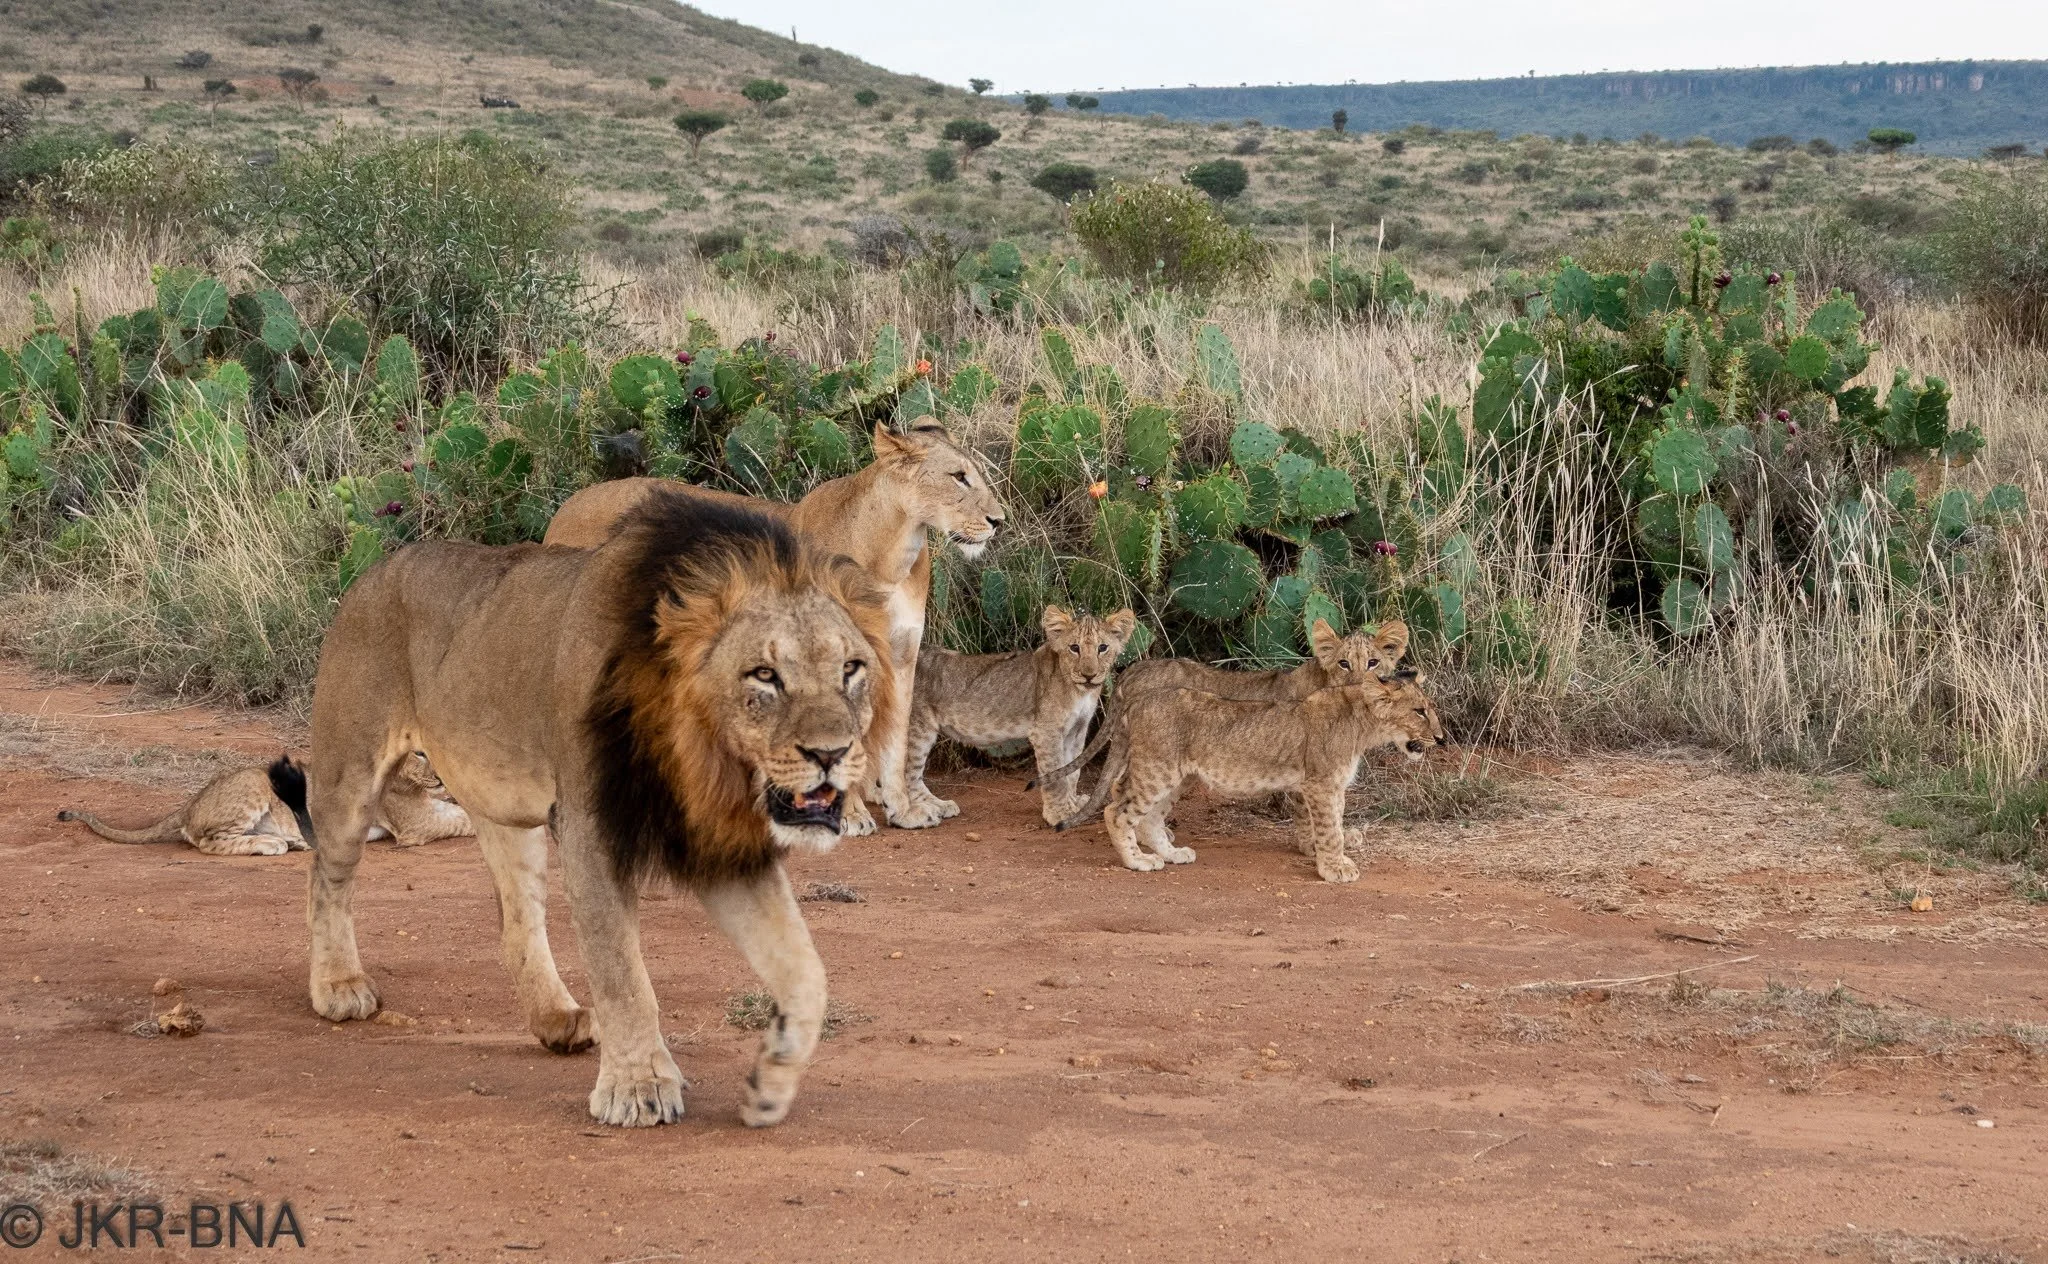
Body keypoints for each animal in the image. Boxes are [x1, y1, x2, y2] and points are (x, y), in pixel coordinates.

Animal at [274, 490, 896, 1129]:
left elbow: (806, 970)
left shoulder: (717, 843)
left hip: (504, 808)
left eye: (850, 669)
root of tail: (370, 573)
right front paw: (638, 1087)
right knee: (324, 875)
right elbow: (621, 971)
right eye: (764, 675)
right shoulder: (590, 828)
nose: (832, 753)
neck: (704, 757)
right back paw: (339, 986)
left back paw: (556, 1020)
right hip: (351, 777)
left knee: (518, 920)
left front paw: (769, 1081)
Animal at [544, 423, 1004, 835]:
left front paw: (905, 809)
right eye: (958, 476)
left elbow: (895, 739)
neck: (894, 555)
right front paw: (852, 816)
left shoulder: (900, 655)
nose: (998, 520)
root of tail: (565, 509)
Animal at [906, 605, 1137, 827]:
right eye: (1074, 648)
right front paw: (1058, 814)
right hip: (918, 729)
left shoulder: (1077, 730)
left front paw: (1073, 804)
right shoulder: (1046, 732)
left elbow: (1072, 772)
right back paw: (923, 813)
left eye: (1102, 648)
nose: (1089, 675)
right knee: (909, 775)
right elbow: (1055, 776)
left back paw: (938, 806)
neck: (1080, 691)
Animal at [1055, 671, 1445, 883]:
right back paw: (1138, 861)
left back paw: (1172, 854)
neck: (1362, 725)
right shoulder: (1319, 784)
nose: (1441, 738)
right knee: (1117, 811)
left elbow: (1334, 824)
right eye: (1420, 711)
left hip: (1176, 776)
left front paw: (1338, 860)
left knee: (1149, 817)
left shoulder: (1331, 787)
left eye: (1430, 709)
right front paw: (1333, 869)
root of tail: (1137, 700)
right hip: (1156, 769)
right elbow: (1329, 830)